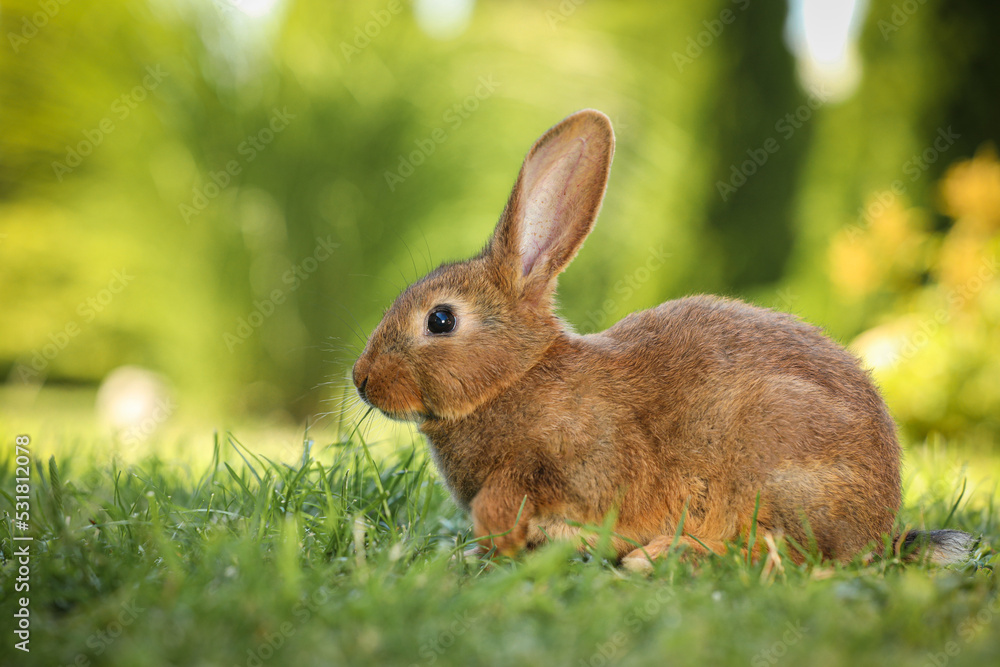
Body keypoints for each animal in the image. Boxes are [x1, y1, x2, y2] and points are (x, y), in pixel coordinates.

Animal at [352, 109, 976, 570]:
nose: (360, 382)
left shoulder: (573, 461)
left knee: (782, 553)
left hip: (773, 457)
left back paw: (661, 556)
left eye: (440, 320)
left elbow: (512, 500)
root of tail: (881, 524)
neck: (515, 376)